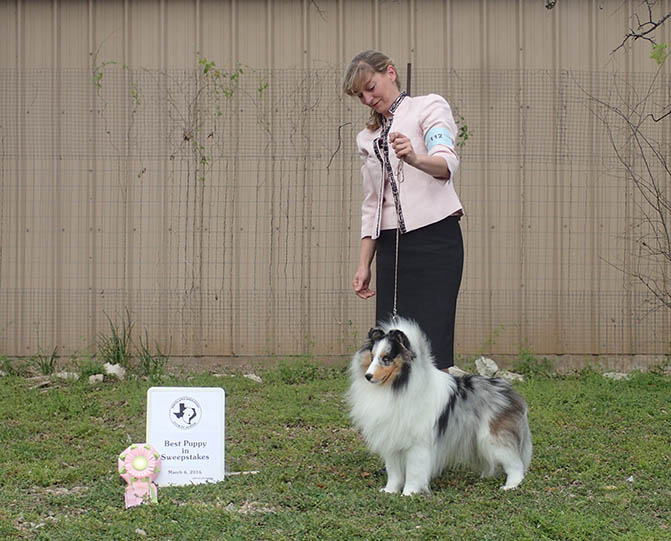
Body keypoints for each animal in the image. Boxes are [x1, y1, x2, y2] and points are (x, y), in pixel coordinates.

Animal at [350, 318, 532, 496]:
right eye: (372, 357)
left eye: (386, 358)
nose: (368, 376)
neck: (396, 387)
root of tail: (509, 391)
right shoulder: (392, 441)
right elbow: (394, 472)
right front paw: (389, 491)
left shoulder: (418, 444)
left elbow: (414, 472)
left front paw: (408, 493)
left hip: (493, 439)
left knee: (516, 464)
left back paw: (510, 486)